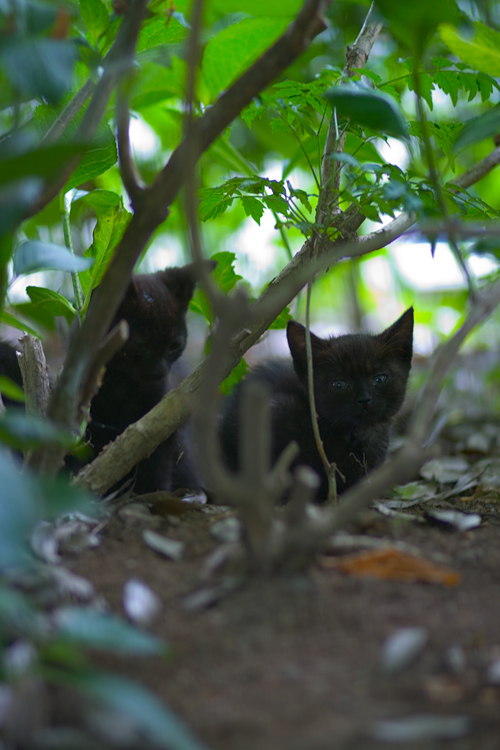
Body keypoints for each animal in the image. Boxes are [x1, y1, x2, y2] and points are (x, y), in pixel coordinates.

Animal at [88, 262, 213, 496]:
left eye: (174, 345)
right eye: (140, 344)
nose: (161, 372)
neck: (122, 388)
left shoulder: (161, 427)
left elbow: (157, 468)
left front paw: (152, 494)